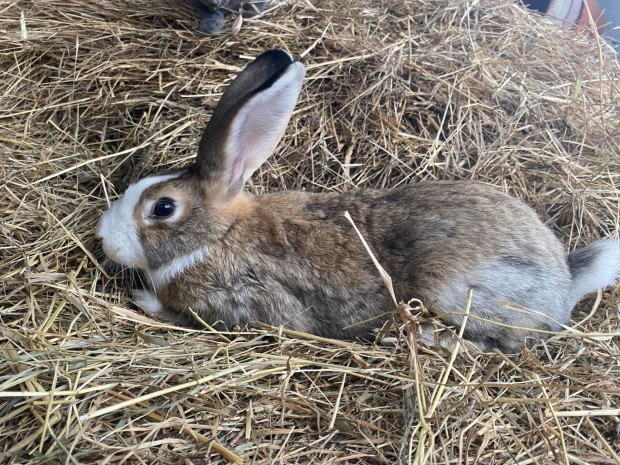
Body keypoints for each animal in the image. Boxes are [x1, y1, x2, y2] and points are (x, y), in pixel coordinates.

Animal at [95, 49, 620, 352]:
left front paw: (142, 297)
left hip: (453, 290)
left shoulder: (241, 304)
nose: (103, 237)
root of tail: (563, 282)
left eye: (163, 208)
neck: (216, 236)